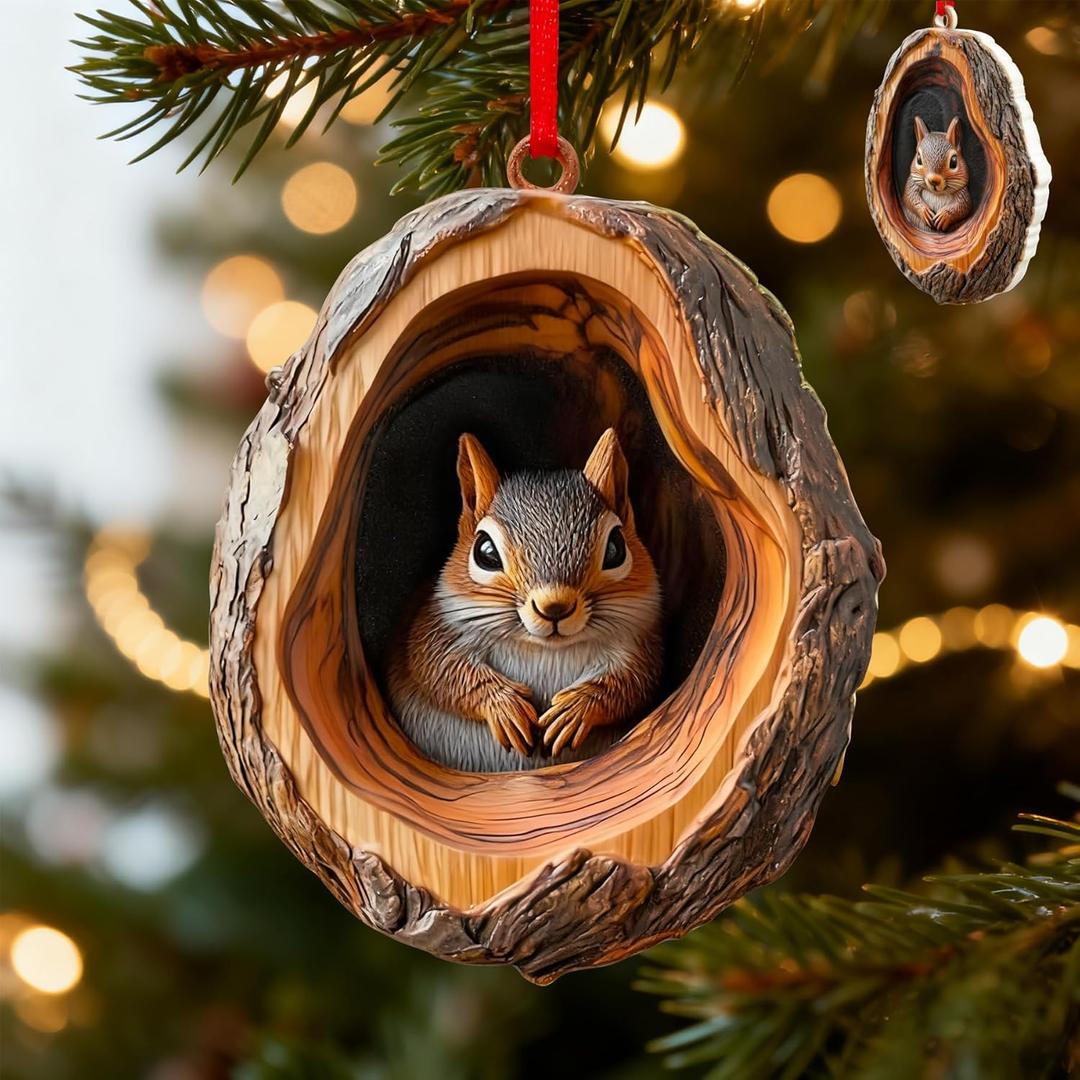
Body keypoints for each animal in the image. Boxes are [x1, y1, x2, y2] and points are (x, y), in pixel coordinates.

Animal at [388, 428, 663, 773]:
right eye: (485, 552)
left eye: (615, 548)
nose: (554, 607)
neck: (545, 649)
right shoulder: (438, 627)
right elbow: (440, 668)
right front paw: (504, 706)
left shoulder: (635, 645)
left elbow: (632, 682)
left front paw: (575, 710)